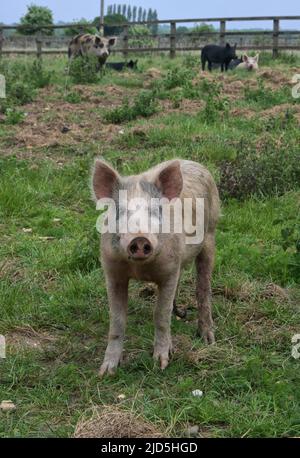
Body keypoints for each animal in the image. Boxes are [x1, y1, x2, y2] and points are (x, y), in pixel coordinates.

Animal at [92, 159, 220, 374]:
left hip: (210, 233)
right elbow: (117, 320)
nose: (140, 239)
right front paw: (106, 372)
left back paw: (208, 339)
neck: (140, 269)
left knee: (203, 289)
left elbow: (160, 314)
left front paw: (160, 364)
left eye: (155, 211)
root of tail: (193, 162)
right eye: (121, 212)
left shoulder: (169, 271)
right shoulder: (112, 272)